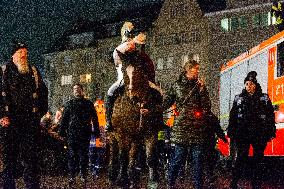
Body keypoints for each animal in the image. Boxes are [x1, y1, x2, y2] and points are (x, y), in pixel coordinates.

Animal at [107, 49, 163, 188]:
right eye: (123, 70)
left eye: (139, 68)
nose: (134, 96)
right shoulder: (122, 134)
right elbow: (123, 157)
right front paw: (122, 179)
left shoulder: (151, 132)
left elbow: (150, 157)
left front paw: (153, 180)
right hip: (112, 136)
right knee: (114, 154)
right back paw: (112, 175)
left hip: (135, 138)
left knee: (132, 154)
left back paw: (132, 176)